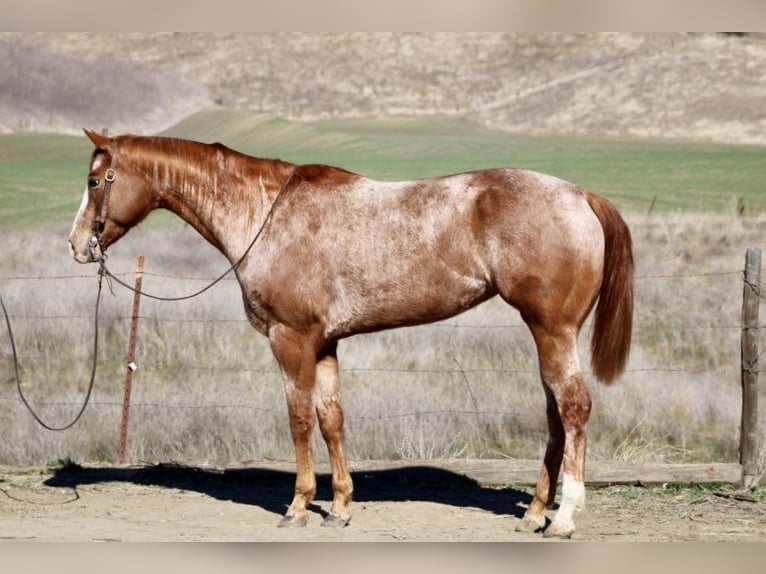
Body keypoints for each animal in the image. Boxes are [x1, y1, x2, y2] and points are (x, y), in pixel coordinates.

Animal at [69, 129, 633, 538]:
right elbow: (331, 418)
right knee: (556, 414)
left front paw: (298, 506)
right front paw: (339, 505)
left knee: (574, 408)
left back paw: (563, 517)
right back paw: (535, 513)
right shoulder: (325, 344)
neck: (267, 214)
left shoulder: (291, 339)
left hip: (552, 331)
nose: (77, 244)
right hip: (548, 334)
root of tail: (579, 194)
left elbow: (299, 420)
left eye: (96, 182)